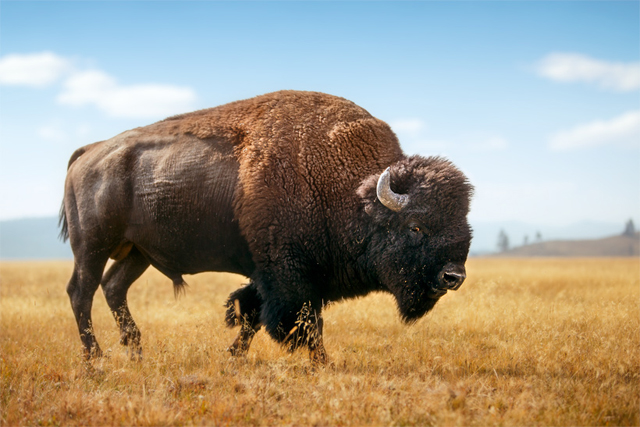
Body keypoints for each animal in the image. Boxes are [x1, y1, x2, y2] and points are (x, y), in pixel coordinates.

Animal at [60, 90, 472, 364]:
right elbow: (300, 322)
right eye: (416, 227)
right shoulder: (288, 275)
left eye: (464, 223)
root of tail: (90, 151)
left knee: (113, 287)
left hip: (137, 252)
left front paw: (233, 357)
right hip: (92, 245)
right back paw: (95, 359)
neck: (351, 193)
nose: (453, 276)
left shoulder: (282, 276)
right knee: (82, 291)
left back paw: (136, 351)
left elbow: (253, 315)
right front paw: (322, 363)